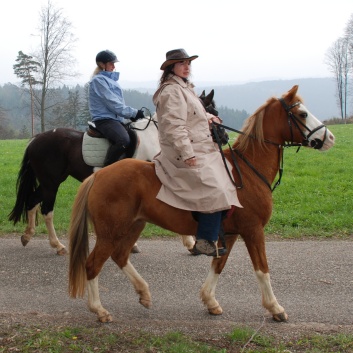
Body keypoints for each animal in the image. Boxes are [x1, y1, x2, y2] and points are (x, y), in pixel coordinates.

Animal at [67, 85, 334, 322]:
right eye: (302, 114)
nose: (328, 137)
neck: (246, 171)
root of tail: (99, 175)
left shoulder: (231, 233)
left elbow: (218, 265)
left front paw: (210, 301)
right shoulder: (253, 230)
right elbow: (262, 269)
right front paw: (275, 307)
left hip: (134, 226)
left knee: (120, 256)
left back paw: (143, 293)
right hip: (110, 233)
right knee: (92, 265)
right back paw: (99, 310)